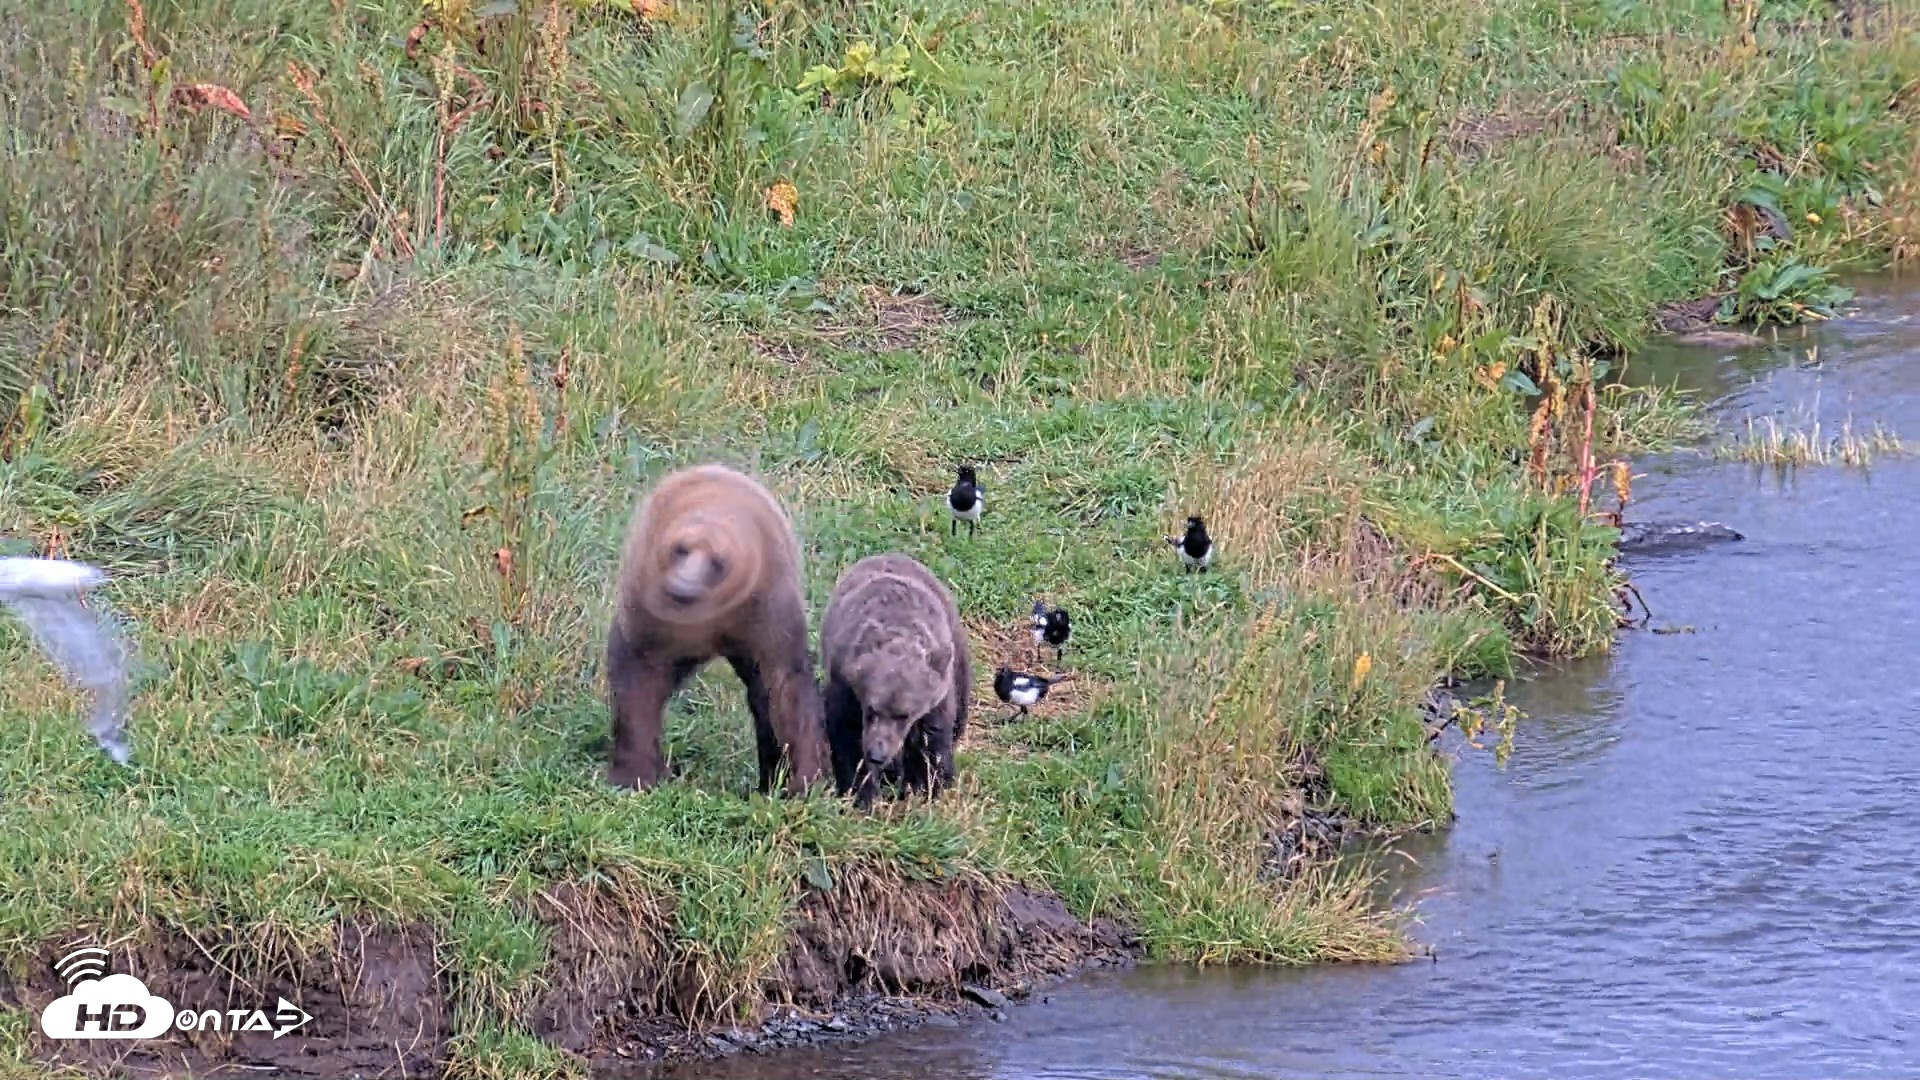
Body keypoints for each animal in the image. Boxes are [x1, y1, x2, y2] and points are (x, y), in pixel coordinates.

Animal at [603, 463, 828, 797]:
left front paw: (803, 779)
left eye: (717, 562)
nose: (681, 588)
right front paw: (635, 773)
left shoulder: (769, 620)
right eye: (680, 549)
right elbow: (636, 692)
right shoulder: (649, 625)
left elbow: (787, 691)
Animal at [818, 552, 972, 810]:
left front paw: (930, 784)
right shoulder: (846, 687)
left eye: (904, 715)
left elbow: (933, 739)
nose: (877, 754)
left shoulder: (936, 698)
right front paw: (862, 793)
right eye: (872, 709)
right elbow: (848, 739)